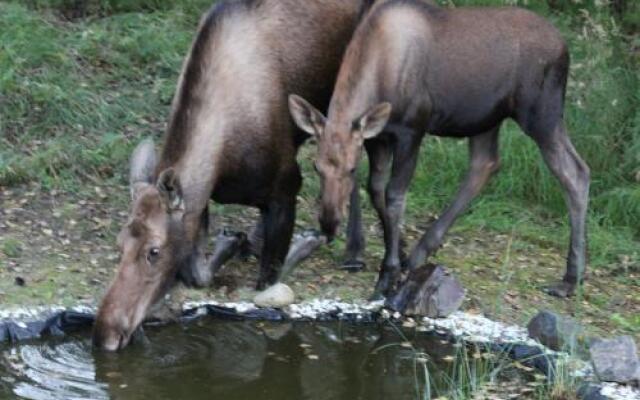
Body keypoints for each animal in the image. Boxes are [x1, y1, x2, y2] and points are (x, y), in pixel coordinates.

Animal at [92, 0, 378, 350]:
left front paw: (303, 242)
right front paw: (233, 241)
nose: (105, 333)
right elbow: (197, 272)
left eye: (154, 251)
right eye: (119, 243)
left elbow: (268, 283)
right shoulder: (202, 200)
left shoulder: (287, 185)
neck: (223, 161)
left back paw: (352, 250)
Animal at [290, 0, 592, 298]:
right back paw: (421, 250)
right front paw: (399, 250)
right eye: (316, 166)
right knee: (486, 163)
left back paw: (571, 278)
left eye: (351, 169)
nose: (328, 223)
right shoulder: (378, 138)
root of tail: (564, 47)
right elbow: (375, 189)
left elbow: (395, 196)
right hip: (486, 119)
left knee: (575, 171)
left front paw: (387, 275)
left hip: (541, 113)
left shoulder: (412, 130)